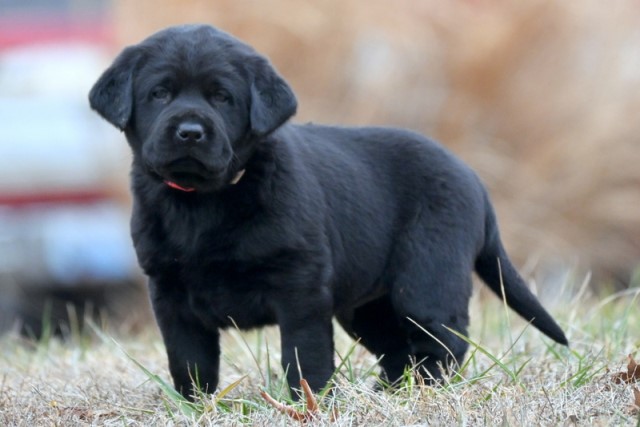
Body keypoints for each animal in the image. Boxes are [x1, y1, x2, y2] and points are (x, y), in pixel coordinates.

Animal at [87, 25, 568, 402]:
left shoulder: (300, 285)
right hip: (367, 306)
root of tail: (474, 180)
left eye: (222, 97)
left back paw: (426, 391)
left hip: (426, 280)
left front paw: (311, 402)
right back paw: (389, 393)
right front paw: (195, 405)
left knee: (442, 341)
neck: (204, 201)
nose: (189, 131)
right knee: (398, 348)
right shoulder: (170, 293)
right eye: (159, 93)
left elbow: (304, 355)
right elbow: (189, 360)